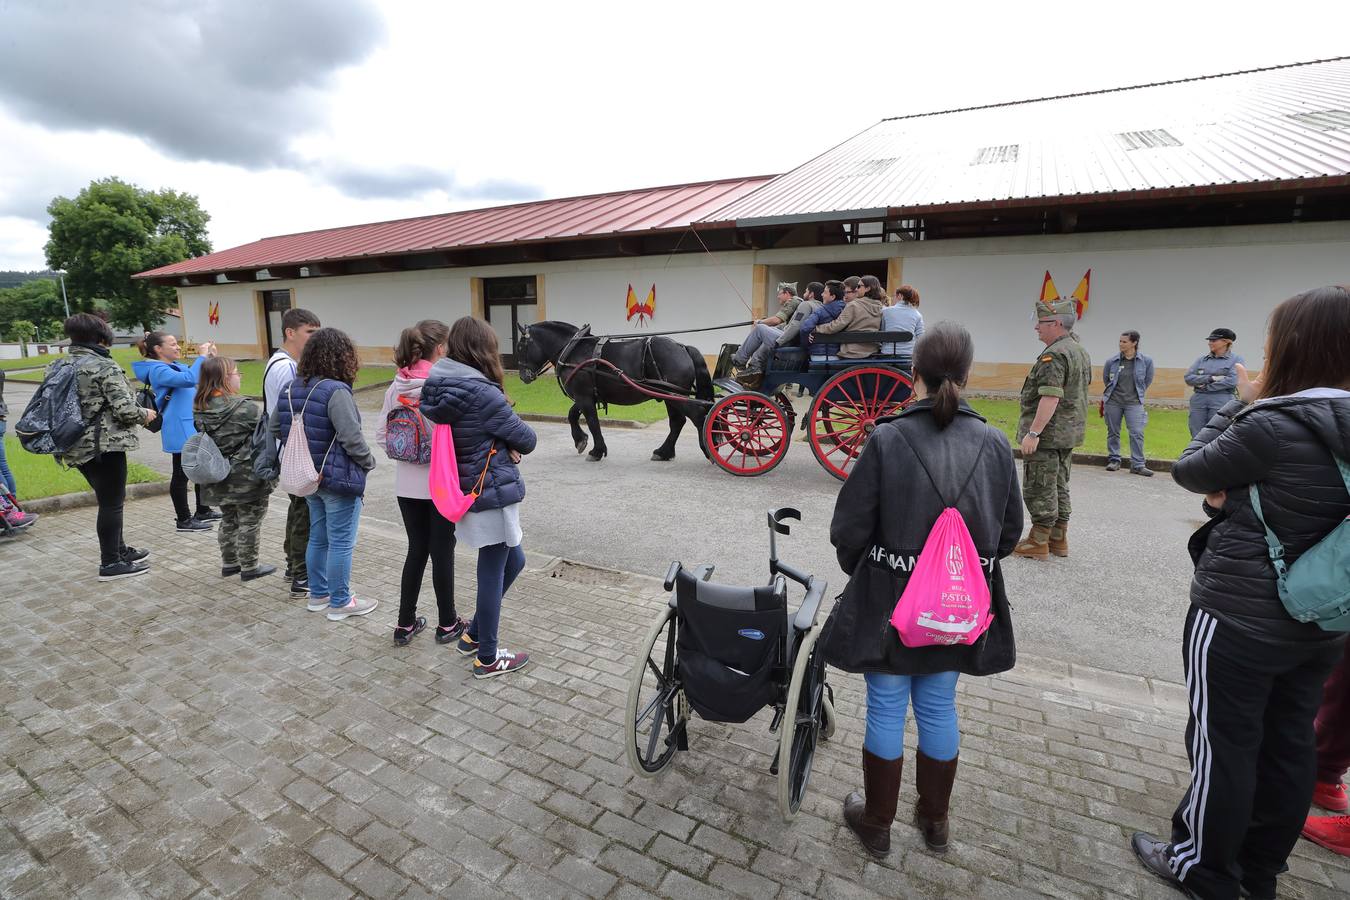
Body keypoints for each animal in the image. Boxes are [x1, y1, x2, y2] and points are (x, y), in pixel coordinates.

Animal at [513, 322, 712, 464]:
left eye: (521, 347)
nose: (523, 376)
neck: (574, 350)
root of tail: (682, 347)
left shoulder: (584, 396)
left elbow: (593, 422)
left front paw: (596, 451)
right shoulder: (587, 396)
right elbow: (572, 415)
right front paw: (580, 440)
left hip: (673, 395)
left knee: (697, 416)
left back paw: (707, 449)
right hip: (669, 396)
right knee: (678, 422)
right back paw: (664, 452)